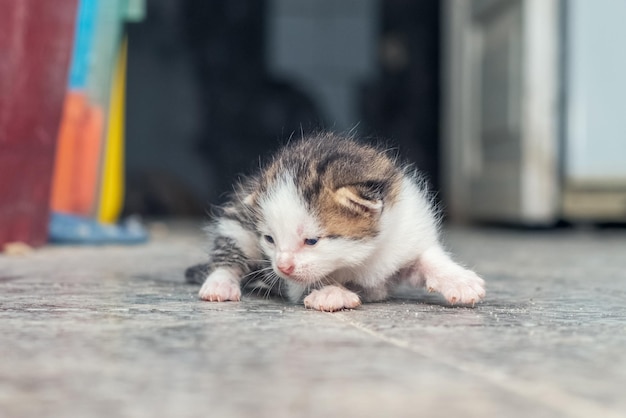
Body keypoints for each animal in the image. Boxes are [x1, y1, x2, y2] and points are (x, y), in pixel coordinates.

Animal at [185, 132, 482, 312]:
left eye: (312, 240)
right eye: (269, 239)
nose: (281, 267)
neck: (363, 258)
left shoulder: (406, 231)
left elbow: (427, 258)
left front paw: (459, 281)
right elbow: (308, 279)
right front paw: (331, 292)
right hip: (236, 222)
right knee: (227, 254)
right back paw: (220, 284)